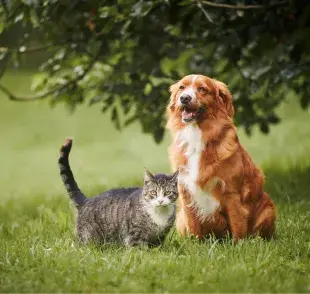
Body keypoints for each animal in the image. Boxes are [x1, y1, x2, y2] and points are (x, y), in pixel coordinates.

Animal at [167, 73, 276, 241]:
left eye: (202, 89)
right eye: (181, 87)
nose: (184, 98)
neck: (196, 136)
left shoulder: (231, 192)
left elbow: (237, 225)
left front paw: (239, 245)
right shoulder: (185, 192)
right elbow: (193, 227)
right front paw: (195, 244)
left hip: (268, 209)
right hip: (180, 219)